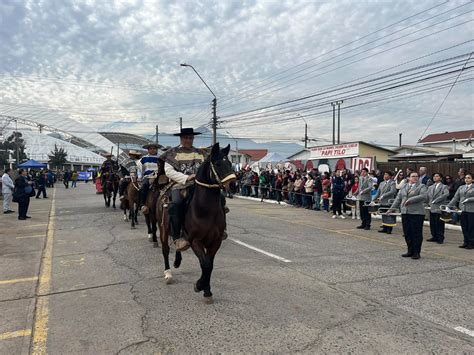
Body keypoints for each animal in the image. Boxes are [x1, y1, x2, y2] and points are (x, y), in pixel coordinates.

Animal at [157, 143, 235, 304]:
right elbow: (205, 264)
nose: (233, 185)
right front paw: (199, 286)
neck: (205, 211)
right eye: (218, 164)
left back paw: (177, 261)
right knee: (165, 250)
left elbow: (210, 265)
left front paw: (207, 290)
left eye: (230, 163)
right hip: (163, 229)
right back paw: (168, 273)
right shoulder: (195, 241)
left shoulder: (215, 241)